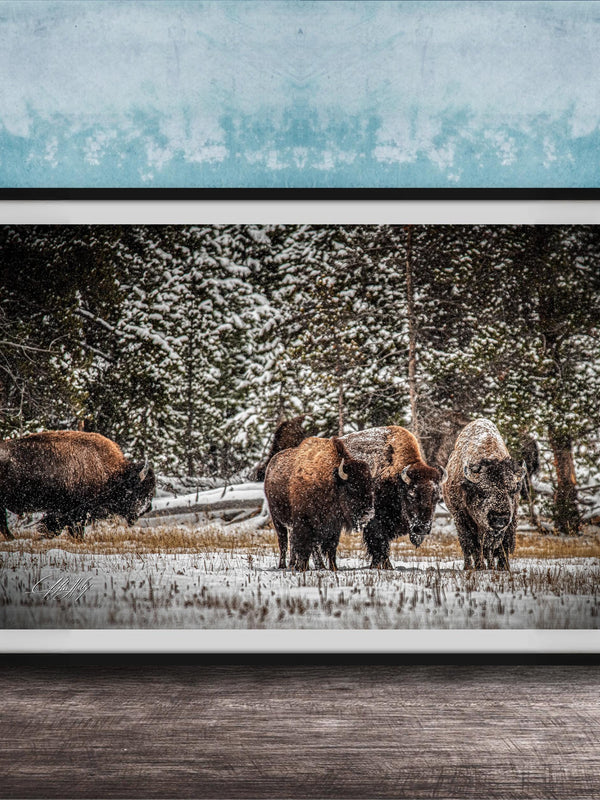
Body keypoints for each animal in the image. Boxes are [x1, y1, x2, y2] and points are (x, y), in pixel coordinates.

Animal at [264, 436, 373, 571]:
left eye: (370, 486)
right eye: (352, 486)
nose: (368, 513)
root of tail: (270, 466)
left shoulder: (333, 525)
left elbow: (330, 547)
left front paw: (333, 567)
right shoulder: (303, 521)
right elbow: (304, 545)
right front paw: (302, 567)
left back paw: (300, 564)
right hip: (278, 520)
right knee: (283, 542)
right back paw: (283, 565)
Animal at [341, 426, 445, 569]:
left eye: (436, 498)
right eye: (411, 495)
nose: (422, 528)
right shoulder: (375, 522)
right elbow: (379, 545)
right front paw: (385, 566)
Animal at [443, 418, 525, 570]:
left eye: (512, 491)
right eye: (482, 492)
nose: (499, 518)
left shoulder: (511, 520)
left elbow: (504, 545)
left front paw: (503, 567)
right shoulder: (463, 518)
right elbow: (474, 545)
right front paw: (479, 566)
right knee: (468, 546)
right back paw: (470, 566)